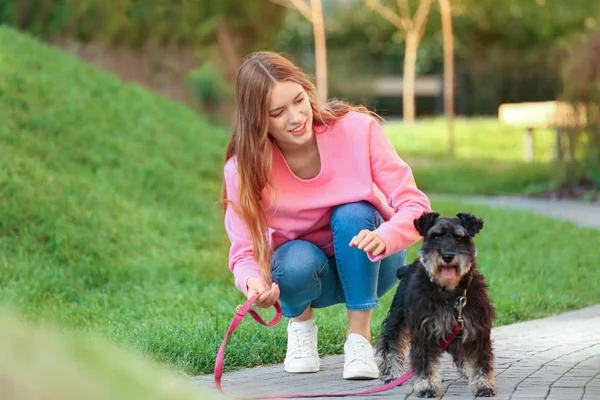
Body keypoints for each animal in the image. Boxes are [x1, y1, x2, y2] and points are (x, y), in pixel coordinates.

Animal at [376, 212, 496, 396]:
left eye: (459, 237)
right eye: (435, 236)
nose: (447, 256)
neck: (449, 292)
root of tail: (408, 267)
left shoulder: (476, 329)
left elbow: (480, 361)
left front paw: (483, 385)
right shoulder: (424, 332)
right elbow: (424, 363)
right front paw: (427, 386)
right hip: (397, 318)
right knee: (391, 344)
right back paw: (391, 373)